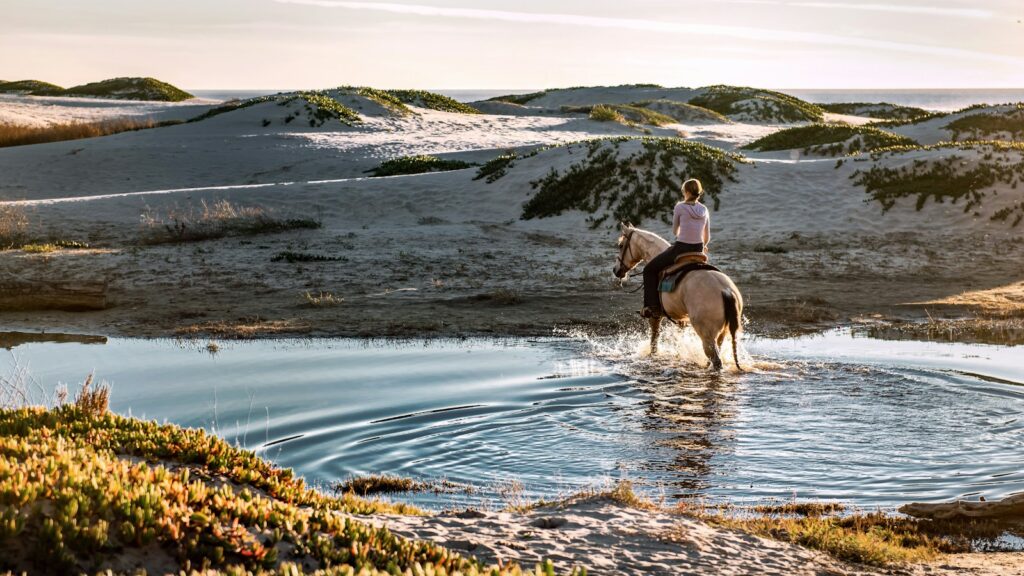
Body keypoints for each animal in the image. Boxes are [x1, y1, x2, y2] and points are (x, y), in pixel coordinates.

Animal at [612, 222, 743, 371]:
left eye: (621, 245)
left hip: (707, 336)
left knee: (716, 361)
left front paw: (652, 357)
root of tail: (726, 290)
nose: (616, 270)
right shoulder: (681, 319)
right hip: (722, 333)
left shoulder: (655, 316)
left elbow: (654, 340)